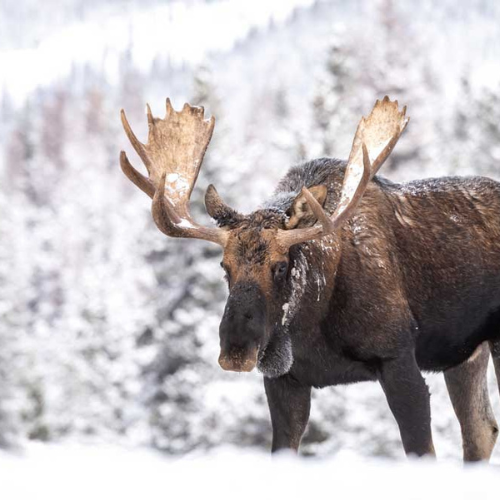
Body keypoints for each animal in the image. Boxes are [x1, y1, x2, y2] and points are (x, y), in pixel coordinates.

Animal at [120, 96, 500, 460]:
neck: (314, 324)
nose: (236, 349)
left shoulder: (398, 358)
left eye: (280, 266)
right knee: (482, 432)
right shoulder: (285, 380)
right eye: (224, 267)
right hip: (466, 356)